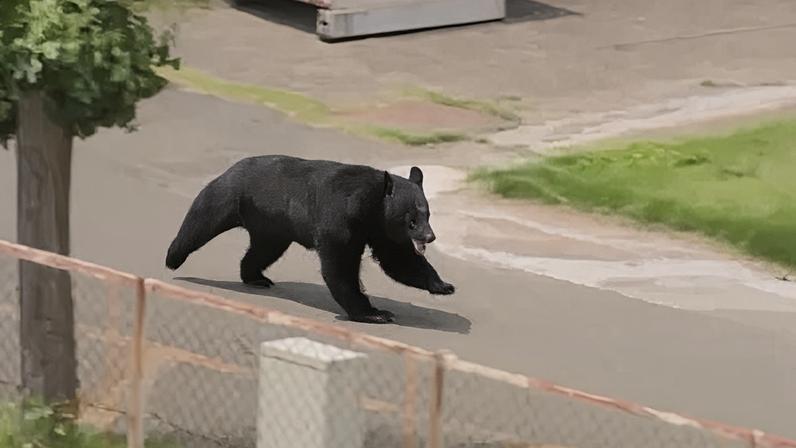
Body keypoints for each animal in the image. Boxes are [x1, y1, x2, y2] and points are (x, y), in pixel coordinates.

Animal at [165, 155, 455, 324]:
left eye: (428, 214)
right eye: (412, 220)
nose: (430, 236)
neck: (372, 205)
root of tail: (232, 167)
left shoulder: (381, 229)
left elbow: (398, 259)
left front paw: (443, 285)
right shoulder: (340, 218)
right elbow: (340, 265)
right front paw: (375, 313)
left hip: (272, 225)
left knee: (262, 250)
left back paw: (256, 277)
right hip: (230, 196)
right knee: (201, 221)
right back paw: (173, 258)